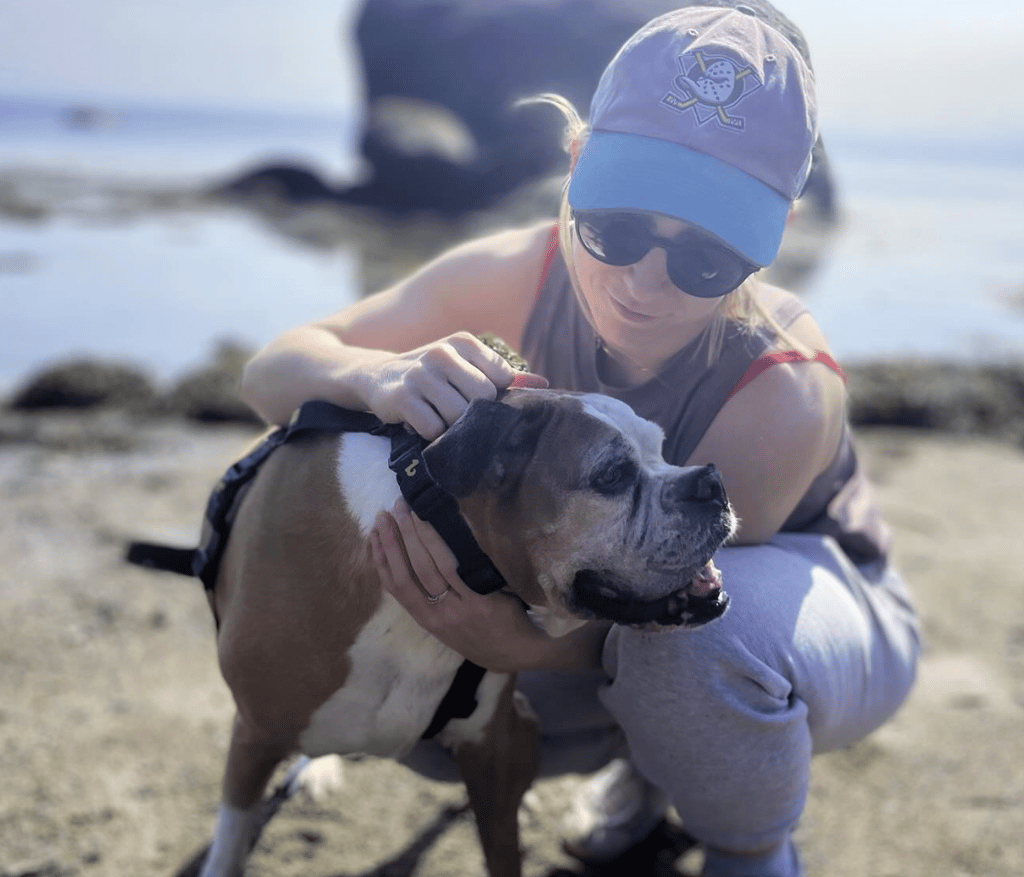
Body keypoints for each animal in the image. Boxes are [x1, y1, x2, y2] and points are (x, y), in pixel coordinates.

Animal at [190, 391, 737, 877]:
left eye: (661, 450)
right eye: (612, 475)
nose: (711, 480)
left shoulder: (489, 749)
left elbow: (502, 852)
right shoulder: (254, 738)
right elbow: (229, 845)